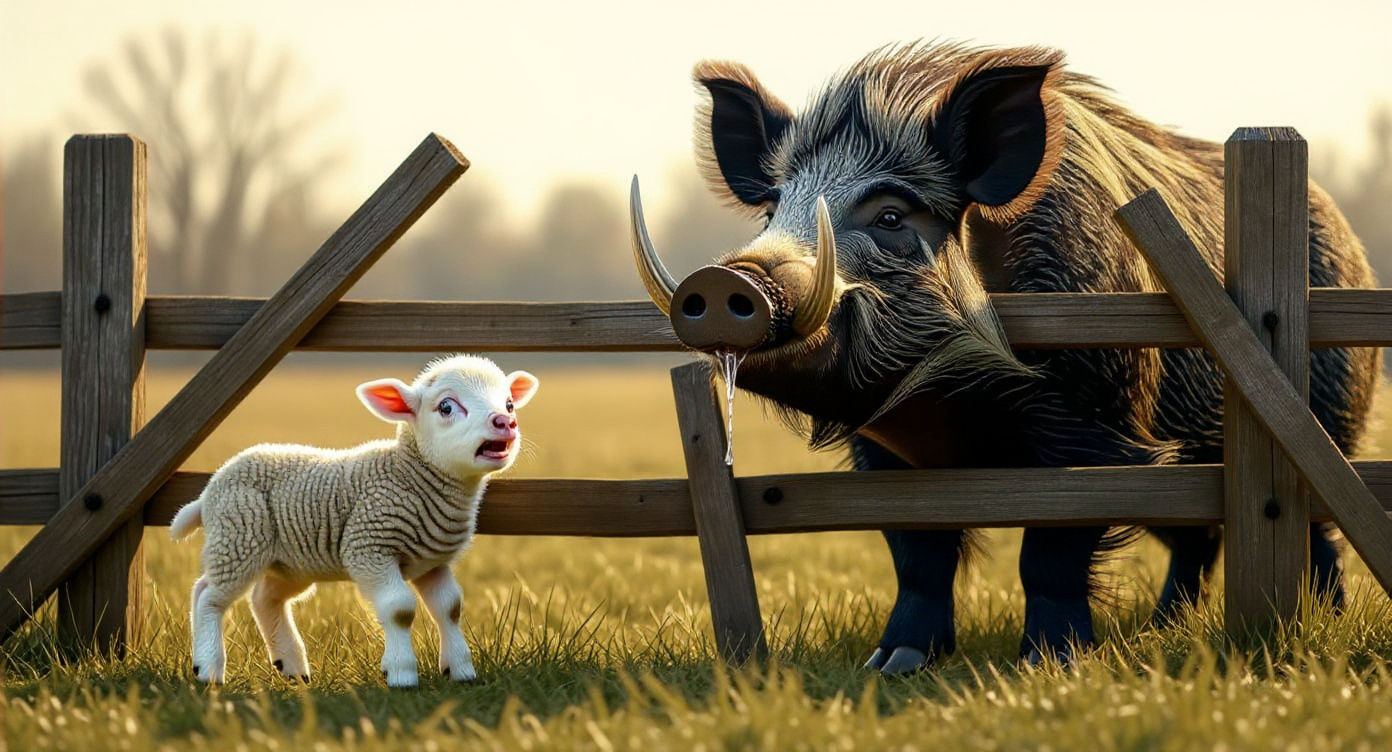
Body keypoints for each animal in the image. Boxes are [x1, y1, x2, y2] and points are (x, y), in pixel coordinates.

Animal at [169, 354, 539, 687]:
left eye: (509, 403)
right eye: (446, 407)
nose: (504, 422)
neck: (407, 475)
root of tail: (210, 488)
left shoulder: (432, 562)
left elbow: (450, 608)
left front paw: (460, 671)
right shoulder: (369, 547)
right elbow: (399, 609)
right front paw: (401, 674)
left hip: (288, 560)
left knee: (262, 598)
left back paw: (291, 666)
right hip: (238, 536)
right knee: (209, 595)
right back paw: (208, 669)